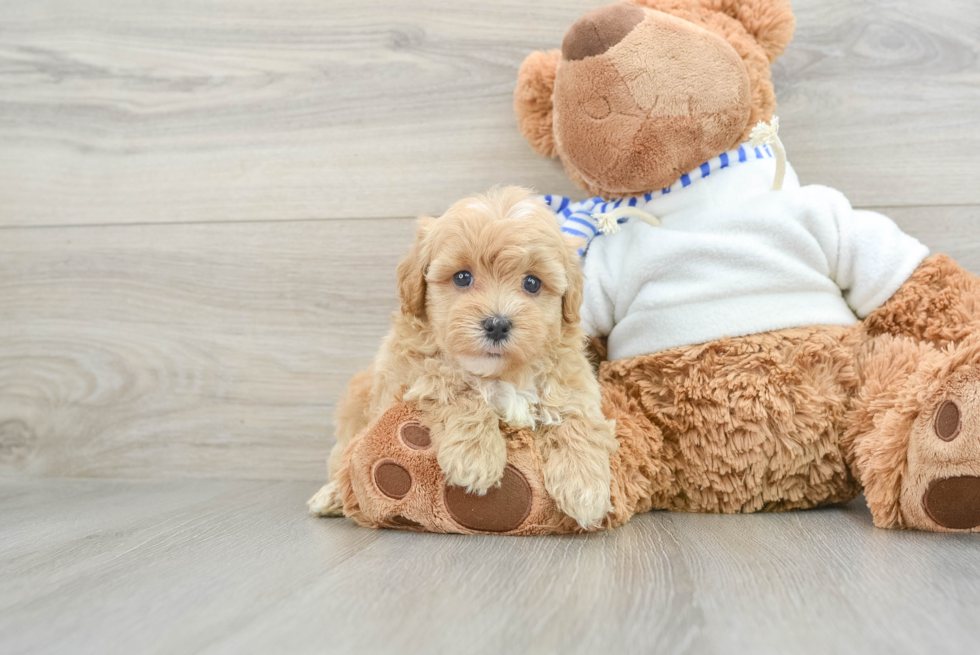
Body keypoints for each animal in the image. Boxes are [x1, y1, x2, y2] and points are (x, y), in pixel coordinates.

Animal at [310, 187, 616, 532]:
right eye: (462, 277)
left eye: (532, 283)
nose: (497, 324)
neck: (500, 374)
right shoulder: (415, 374)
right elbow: (459, 390)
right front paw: (475, 457)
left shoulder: (572, 381)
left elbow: (577, 419)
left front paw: (585, 488)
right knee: (342, 464)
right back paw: (330, 497)